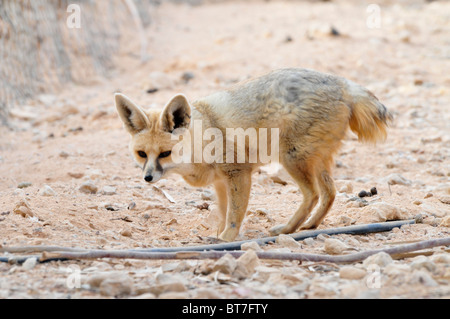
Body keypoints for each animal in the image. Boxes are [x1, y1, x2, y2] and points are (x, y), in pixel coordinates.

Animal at [114, 68, 392, 242]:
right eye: (141, 154)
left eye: (165, 153)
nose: (148, 178)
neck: (204, 133)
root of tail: (342, 84)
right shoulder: (221, 181)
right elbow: (224, 211)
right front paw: (218, 235)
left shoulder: (239, 173)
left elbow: (235, 214)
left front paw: (227, 238)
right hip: (314, 161)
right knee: (330, 192)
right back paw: (310, 226)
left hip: (291, 159)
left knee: (313, 194)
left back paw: (289, 229)